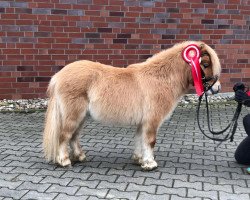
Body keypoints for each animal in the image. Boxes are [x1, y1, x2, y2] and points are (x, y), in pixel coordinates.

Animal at [43, 40, 221, 170]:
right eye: (205, 64)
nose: (217, 88)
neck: (160, 77)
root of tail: (58, 76)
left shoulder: (143, 122)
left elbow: (139, 140)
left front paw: (139, 159)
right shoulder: (152, 121)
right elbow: (150, 141)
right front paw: (150, 164)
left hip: (81, 116)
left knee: (74, 136)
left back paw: (80, 156)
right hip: (74, 115)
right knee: (64, 136)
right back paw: (64, 161)